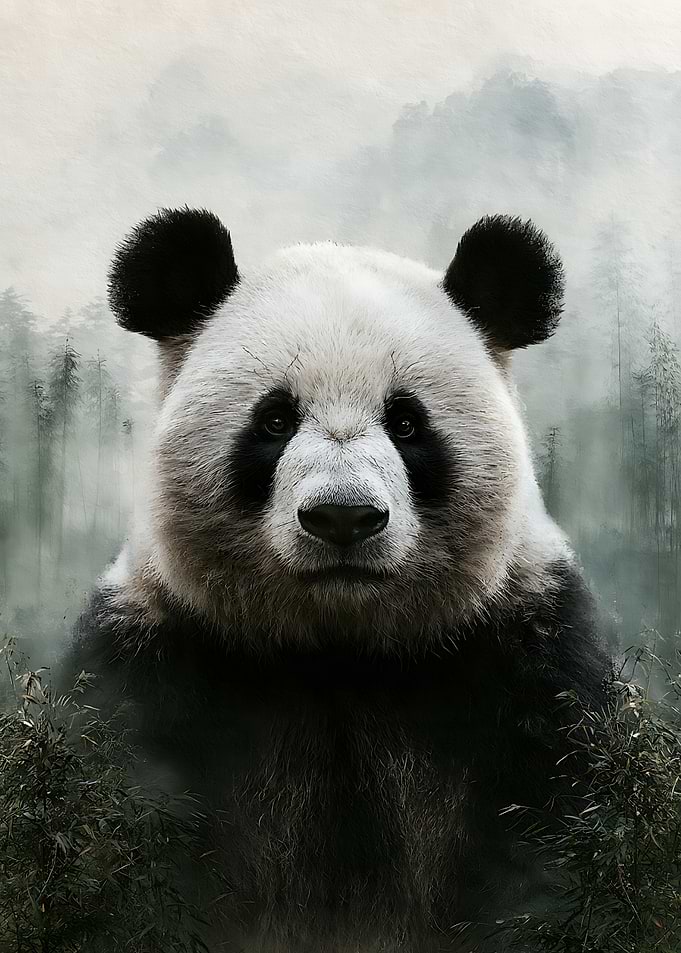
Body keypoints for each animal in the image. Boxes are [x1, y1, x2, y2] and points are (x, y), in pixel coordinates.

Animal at [64, 207, 610, 953]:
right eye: (274, 419)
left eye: (407, 422)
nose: (343, 517)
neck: (338, 651)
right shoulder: (151, 660)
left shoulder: (527, 658)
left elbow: (565, 848)